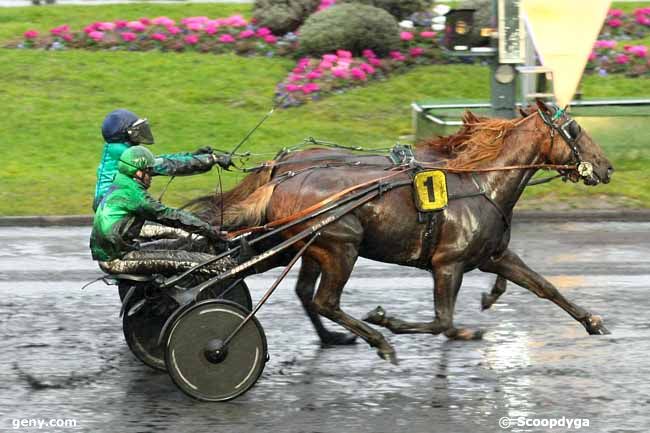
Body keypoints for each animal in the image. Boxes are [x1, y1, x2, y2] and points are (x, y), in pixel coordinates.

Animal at [190, 102, 612, 362]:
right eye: (575, 129)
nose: (606, 167)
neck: (481, 183)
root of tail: (281, 175)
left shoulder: (493, 255)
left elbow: (545, 286)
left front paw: (592, 321)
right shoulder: (448, 263)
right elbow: (443, 322)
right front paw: (388, 321)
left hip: (305, 248)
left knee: (302, 293)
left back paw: (331, 337)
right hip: (340, 246)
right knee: (324, 300)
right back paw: (376, 339)